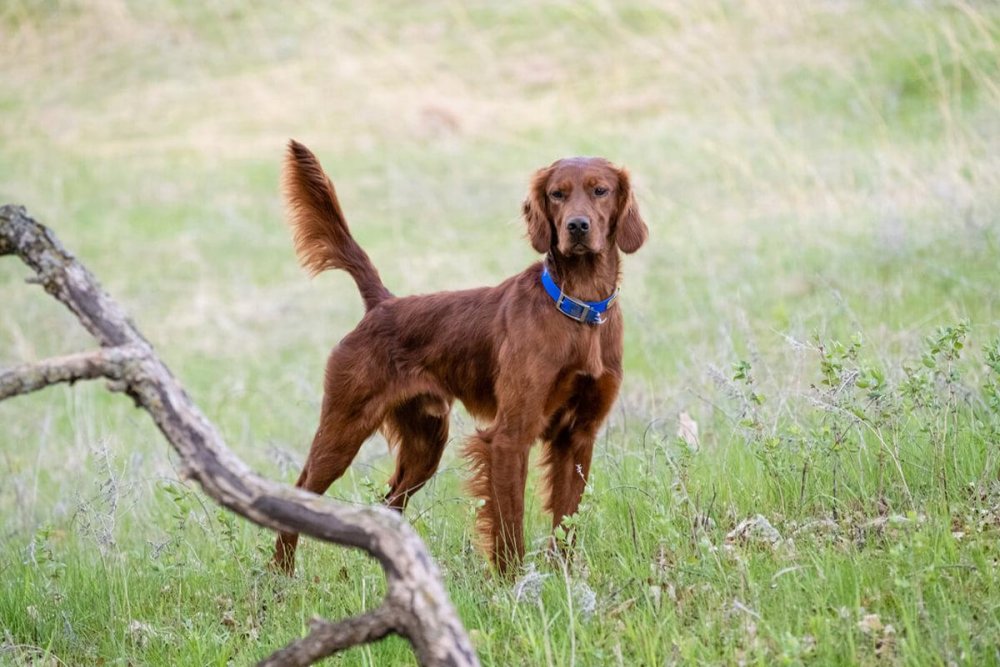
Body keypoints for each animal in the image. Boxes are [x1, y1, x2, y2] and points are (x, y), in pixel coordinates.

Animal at [274, 140, 648, 576]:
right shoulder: (508, 437)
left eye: (600, 190)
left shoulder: (578, 436)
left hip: (425, 444)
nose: (576, 226)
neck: (578, 308)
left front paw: (563, 576)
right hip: (344, 427)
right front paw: (513, 583)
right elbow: (509, 525)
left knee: (389, 504)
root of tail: (382, 303)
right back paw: (280, 576)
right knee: (299, 491)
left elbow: (566, 522)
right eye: (557, 194)